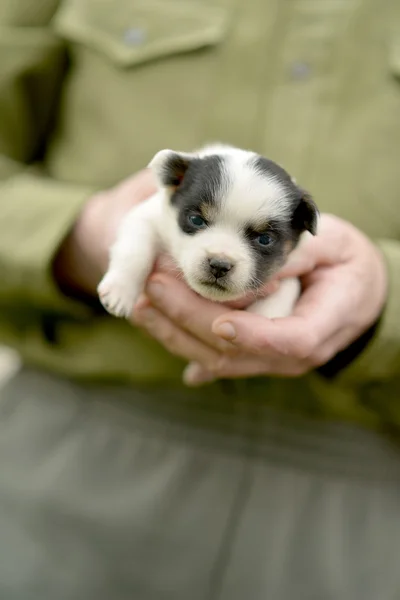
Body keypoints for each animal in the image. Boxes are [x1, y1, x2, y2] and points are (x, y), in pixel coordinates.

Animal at [97, 144, 318, 324]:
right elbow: (135, 251)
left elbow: (287, 288)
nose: (219, 265)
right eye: (196, 220)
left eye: (265, 239)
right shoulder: (148, 217)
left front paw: (265, 317)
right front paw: (120, 291)